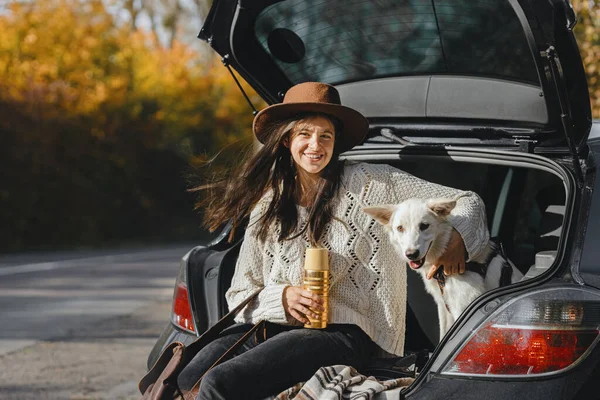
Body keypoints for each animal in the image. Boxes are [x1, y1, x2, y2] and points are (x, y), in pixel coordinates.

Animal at [364, 198, 524, 340]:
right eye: (400, 228)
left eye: (424, 225)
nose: (411, 254)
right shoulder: (444, 307)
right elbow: (443, 336)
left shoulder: (463, 307)